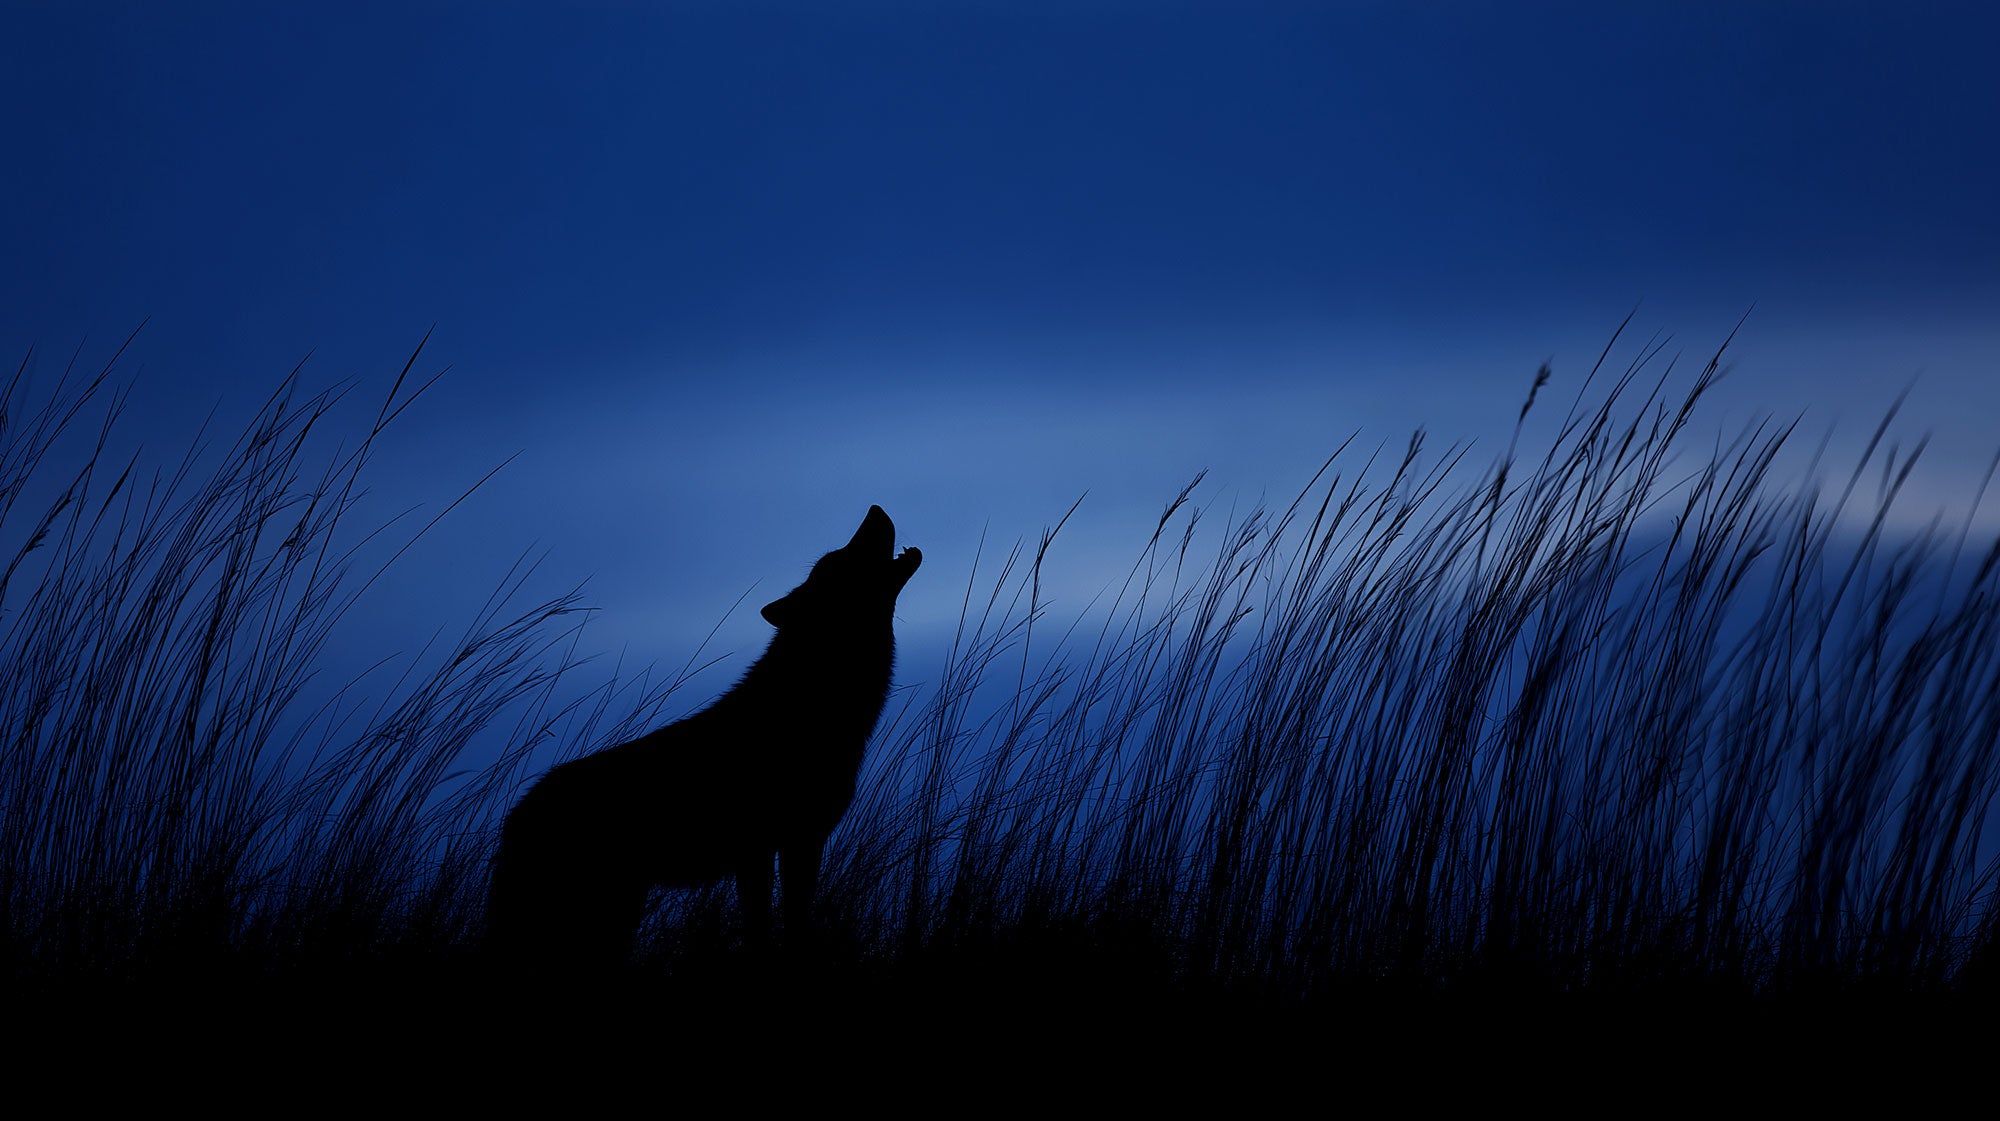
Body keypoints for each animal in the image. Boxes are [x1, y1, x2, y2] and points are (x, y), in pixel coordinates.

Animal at [487, 505, 921, 967]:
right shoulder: (764, 848)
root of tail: (515, 816)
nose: (875, 509)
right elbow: (765, 931)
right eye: (837, 560)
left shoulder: (798, 842)